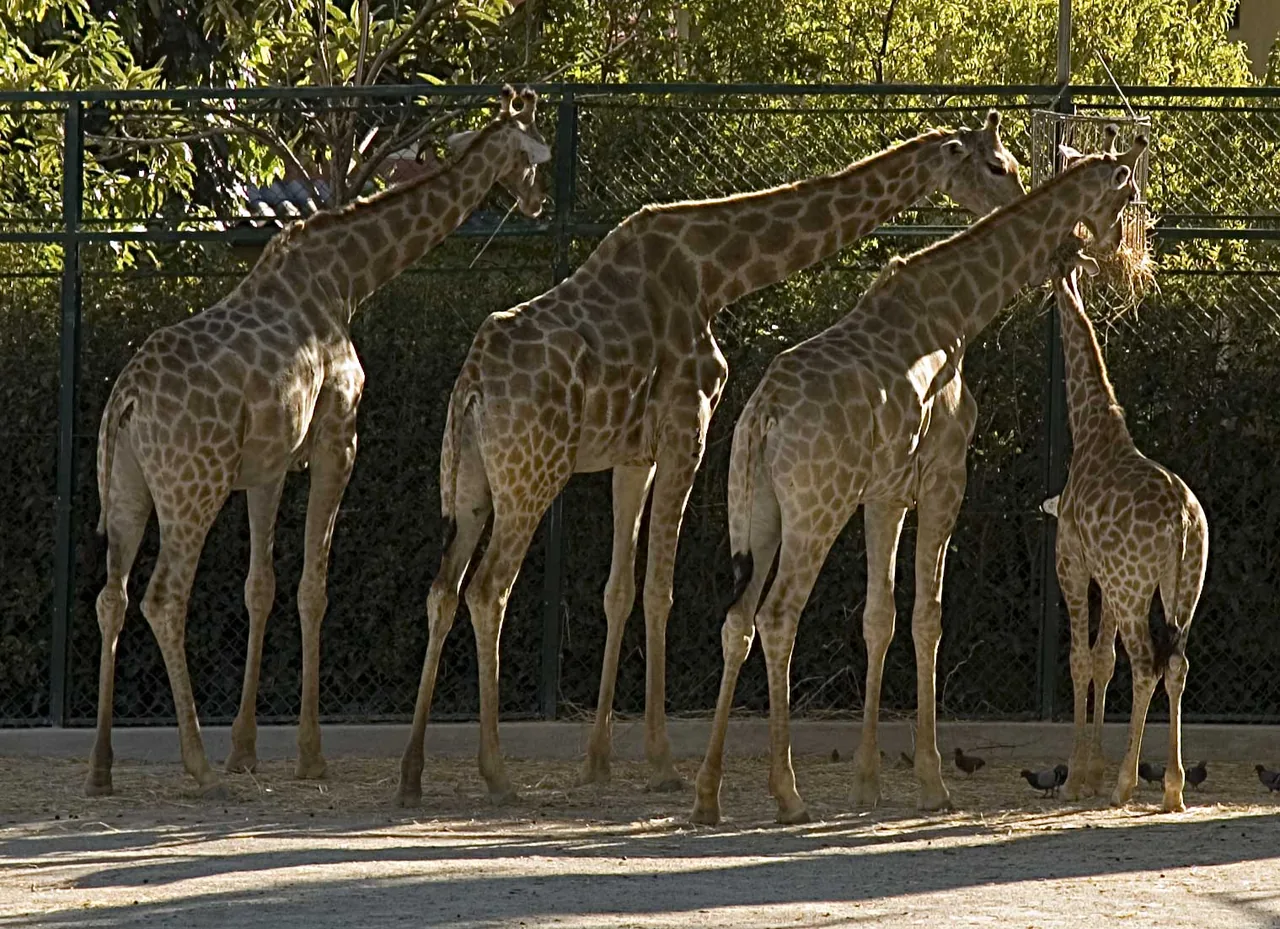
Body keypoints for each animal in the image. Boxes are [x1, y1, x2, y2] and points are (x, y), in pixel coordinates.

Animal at [87, 86, 551, 797]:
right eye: (535, 153)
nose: (539, 200)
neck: (349, 277)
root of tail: (127, 402)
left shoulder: (270, 466)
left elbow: (261, 586)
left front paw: (247, 749)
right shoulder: (339, 442)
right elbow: (313, 586)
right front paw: (308, 756)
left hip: (127, 489)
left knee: (110, 597)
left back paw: (102, 768)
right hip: (192, 488)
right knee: (162, 598)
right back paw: (197, 764)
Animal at [395, 112, 1027, 806]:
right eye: (997, 165)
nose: (1019, 206)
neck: (714, 272)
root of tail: (473, 386)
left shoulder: (633, 455)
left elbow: (620, 589)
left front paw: (601, 761)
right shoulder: (687, 429)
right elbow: (661, 590)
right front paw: (663, 763)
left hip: (469, 483)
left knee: (442, 589)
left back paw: (413, 772)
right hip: (532, 476)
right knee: (488, 591)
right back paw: (497, 773)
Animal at [690, 133, 1149, 826]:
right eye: (1129, 194)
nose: (1119, 258)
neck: (958, 312)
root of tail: (762, 416)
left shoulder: (884, 494)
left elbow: (879, 616)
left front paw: (868, 782)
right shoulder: (944, 475)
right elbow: (928, 615)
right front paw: (932, 782)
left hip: (757, 508)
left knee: (736, 620)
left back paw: (708, 794)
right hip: (816, 511)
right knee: (777, 616)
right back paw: (788, 793)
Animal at [1050, 254, 1208, 814]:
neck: (1090, 427)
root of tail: (1183, 519)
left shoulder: (1072, 561)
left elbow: (1080, 659)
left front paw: (1078, 777)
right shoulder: (1108, 577)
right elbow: (1103, 659)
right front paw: (1090, 772)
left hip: (1135, 587)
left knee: (1146, 663)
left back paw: (1126, 782)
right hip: (1183, 584)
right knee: (1177, 663)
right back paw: (1172, 787)